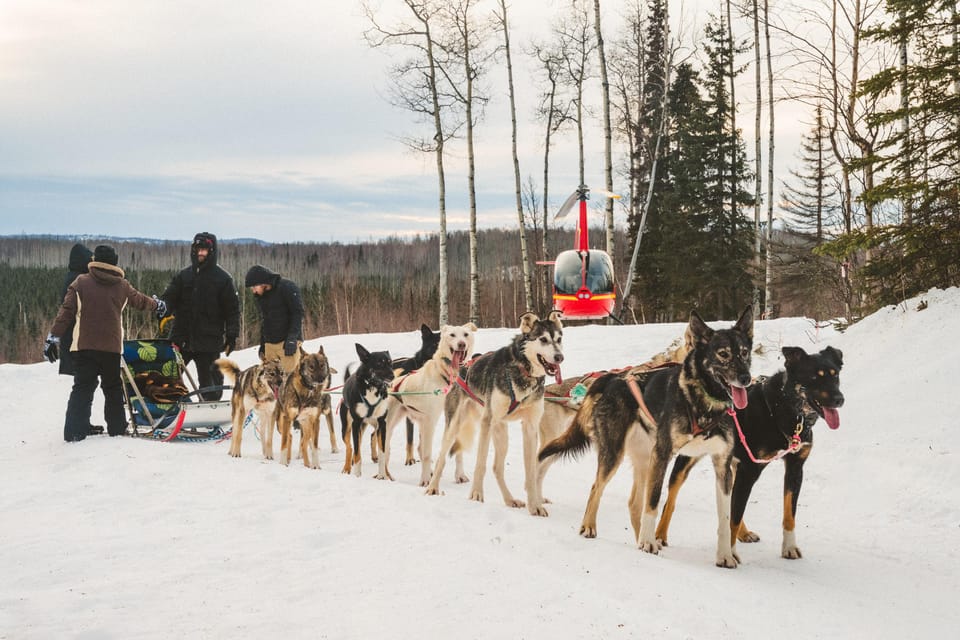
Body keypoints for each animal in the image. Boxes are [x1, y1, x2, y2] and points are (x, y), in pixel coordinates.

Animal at [376, 324, 478, 484]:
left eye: (465, 334)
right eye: (452, 335)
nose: (461, 344)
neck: (445, 376)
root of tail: (392, 383)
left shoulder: (456, 417)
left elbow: (457, 450)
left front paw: (459, 475)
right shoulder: (431, 420)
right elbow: (426, 454)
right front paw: (424, 481)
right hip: (390, 425)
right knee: (383, 450)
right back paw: (382, 475)